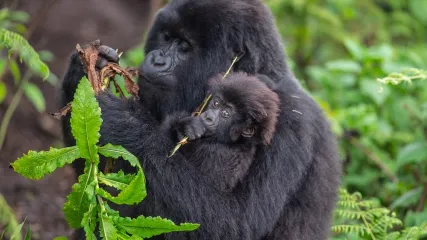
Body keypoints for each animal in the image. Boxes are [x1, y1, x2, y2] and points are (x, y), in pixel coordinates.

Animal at [60, 0, 342, 238]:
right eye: (166, 37)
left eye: (184, 47)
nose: (157, 59)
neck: (258, 73)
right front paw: (84, 70)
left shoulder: (292, 123)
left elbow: (234, 224)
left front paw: (125, 123)